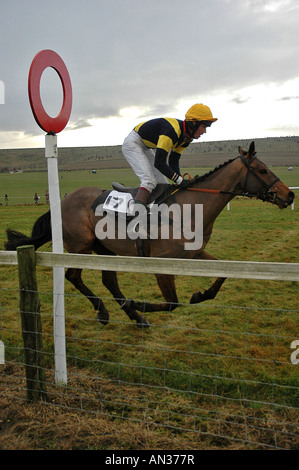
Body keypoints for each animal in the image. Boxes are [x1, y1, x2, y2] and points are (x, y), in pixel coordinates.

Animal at [5, 141, 296, 328]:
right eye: (262, 170)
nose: (289, 195)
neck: (190, 207)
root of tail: (63, 200)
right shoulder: (162, 265)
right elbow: (172, 303)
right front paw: (140, 304)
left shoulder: (195, 254)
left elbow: (222, 274)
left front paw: (199, 295)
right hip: (81, 246)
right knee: (74, 276)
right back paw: (107, 312)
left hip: (105, 249)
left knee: (109, 281)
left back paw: (134, 317)